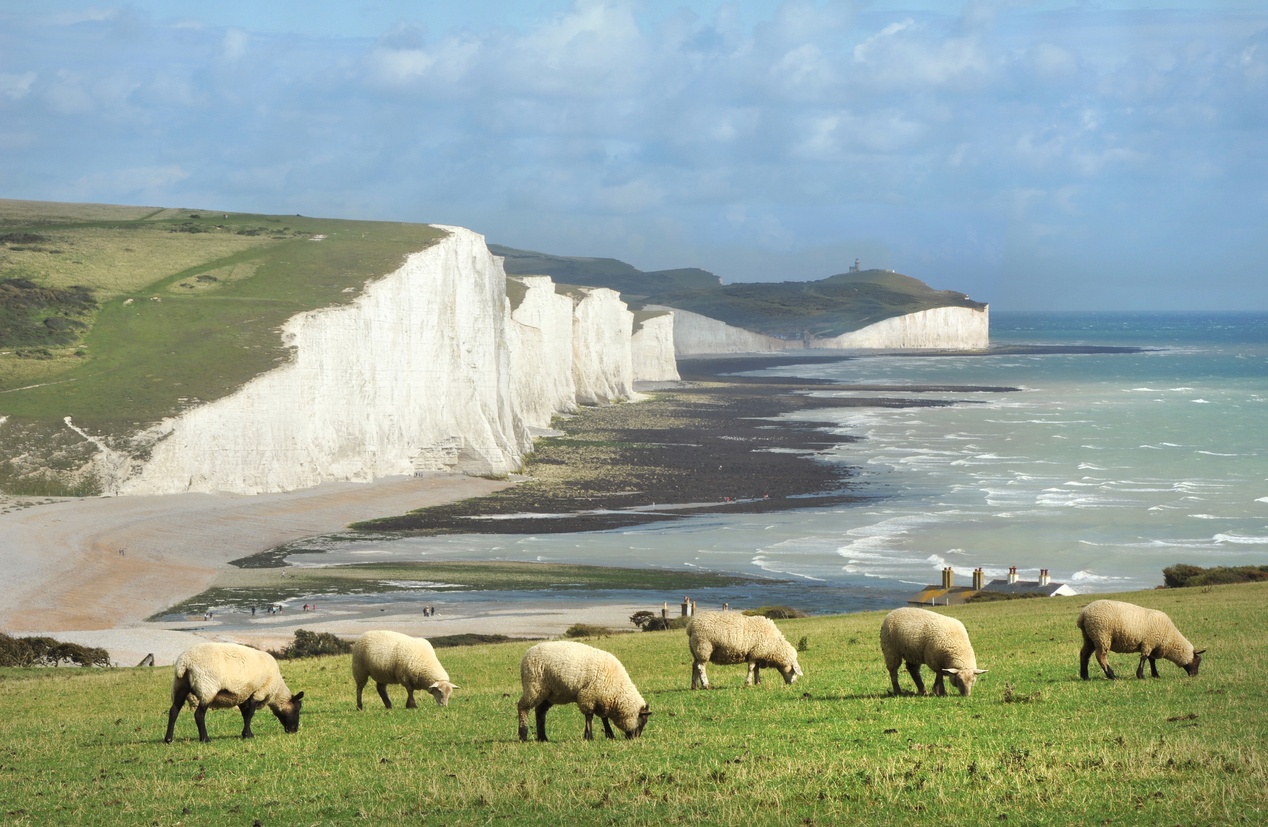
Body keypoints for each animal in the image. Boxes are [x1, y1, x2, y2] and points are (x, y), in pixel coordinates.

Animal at [163, 639, 304, 740]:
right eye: (297, 709)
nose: (294, 730)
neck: (276, 691)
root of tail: (185, 661)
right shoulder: (259, 692)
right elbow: (250, 714)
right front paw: (247, 735)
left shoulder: (243, 696)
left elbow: (245, 715)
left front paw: (247, 734)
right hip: (207, 687)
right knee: (199, 714)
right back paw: (205, 738)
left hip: (180, 685)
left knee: (174, 710)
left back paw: (168, 739)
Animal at [517, 639, 649, 740]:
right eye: (642, 720)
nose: (634, 738)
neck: (618, 689)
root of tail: (527, 653)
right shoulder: (588, 697)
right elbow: (589, 716)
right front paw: (589, 736)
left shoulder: (601, 699)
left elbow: (604, 718)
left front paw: (609, 735)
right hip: (534, 687)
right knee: (523, 707)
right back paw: (523, 734)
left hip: (548, 693)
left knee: (540, 712)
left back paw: (542, 737)